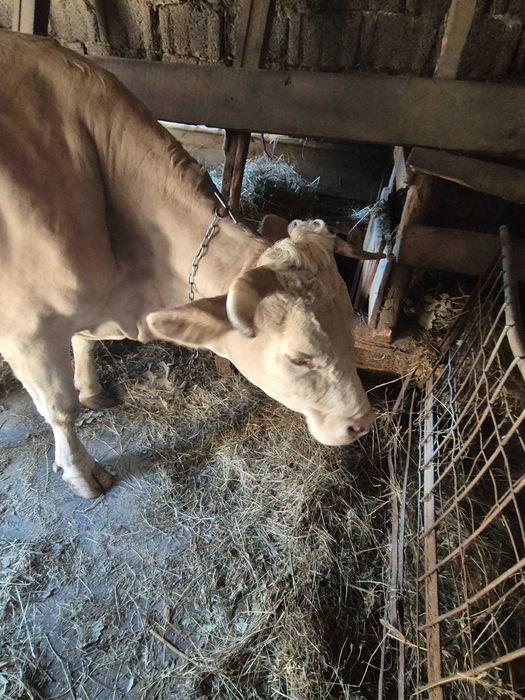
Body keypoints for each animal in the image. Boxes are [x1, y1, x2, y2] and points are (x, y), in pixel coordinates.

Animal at [0, 31, 380, 499]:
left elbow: (83, 344)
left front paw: (91, 390)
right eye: (298, 357)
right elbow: (60, 408)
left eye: (348, 323)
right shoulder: (27, 331)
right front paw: (80, 472)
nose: (362, 423)